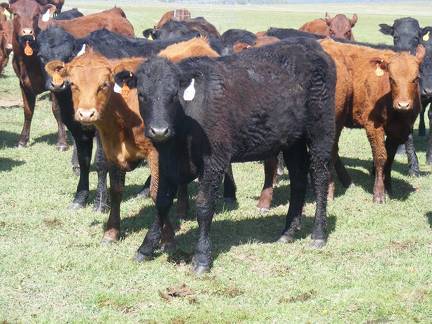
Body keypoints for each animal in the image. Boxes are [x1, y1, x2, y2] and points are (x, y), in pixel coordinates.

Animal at [120, 39, 334, 274]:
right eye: (142, 94)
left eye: (173, 95)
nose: (159, 131)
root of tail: (311, 46)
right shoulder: (167, 161)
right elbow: (162, 201)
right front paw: (145, 248)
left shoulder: (214, 161)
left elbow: (204, 206)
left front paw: (202, 257)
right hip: (292, 141)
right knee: (298, 180)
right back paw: (288, 232)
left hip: (320, 132)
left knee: (320, 177)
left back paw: (318, 234)